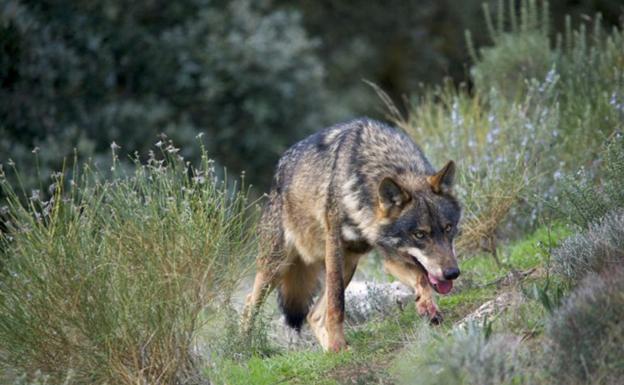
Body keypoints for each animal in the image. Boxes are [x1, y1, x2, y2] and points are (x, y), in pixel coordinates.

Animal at [241, 118, 460, 352]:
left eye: (448, 228)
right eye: (419, 234)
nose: (452, 273)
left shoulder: (391, 256)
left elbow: (421, 278)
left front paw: (427, 306)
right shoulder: (335, 245)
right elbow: (337, 303)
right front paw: (337, 342)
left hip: (348, 264)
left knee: (313, 315)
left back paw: (332, 351)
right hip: (277, 267)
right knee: (249, 304)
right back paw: (242, 348)